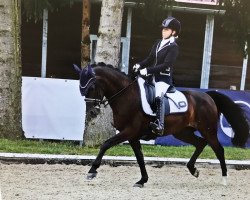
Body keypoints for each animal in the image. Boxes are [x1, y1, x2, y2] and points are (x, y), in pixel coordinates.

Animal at [73, 63, 249, 188]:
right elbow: (140, 158)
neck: (126, 96)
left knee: (219, 150)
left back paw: (224, 179)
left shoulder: (129, 131)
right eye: (81, 89)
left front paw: (92, 171)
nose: (92, 112)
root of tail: (207, 96)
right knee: (200, 143)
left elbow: (105, 144)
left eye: (91, 87)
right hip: (182, 132)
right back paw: (193, 170)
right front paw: (142, 180)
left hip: (208, 130)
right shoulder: (133, 136)